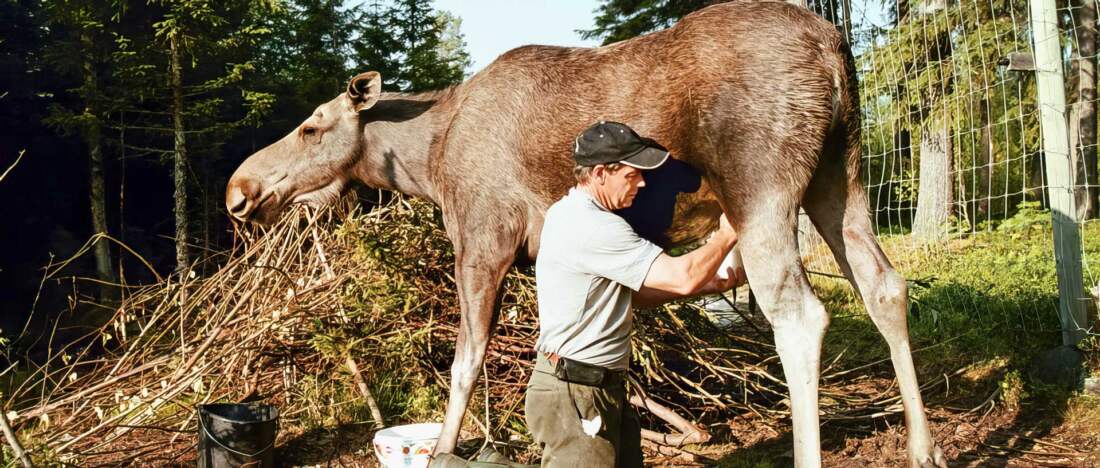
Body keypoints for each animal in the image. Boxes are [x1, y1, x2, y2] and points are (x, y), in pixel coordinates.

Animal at [227, 1, 950, 464]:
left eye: (312, 127)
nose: (240, 191)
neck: (426, 159)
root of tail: (834, 49)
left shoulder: (483, 235)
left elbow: (464, 363)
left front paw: (443, 449)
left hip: (762, 185)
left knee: (800, 315)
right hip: (839, 176)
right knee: (885, 286)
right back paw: (923, 448)